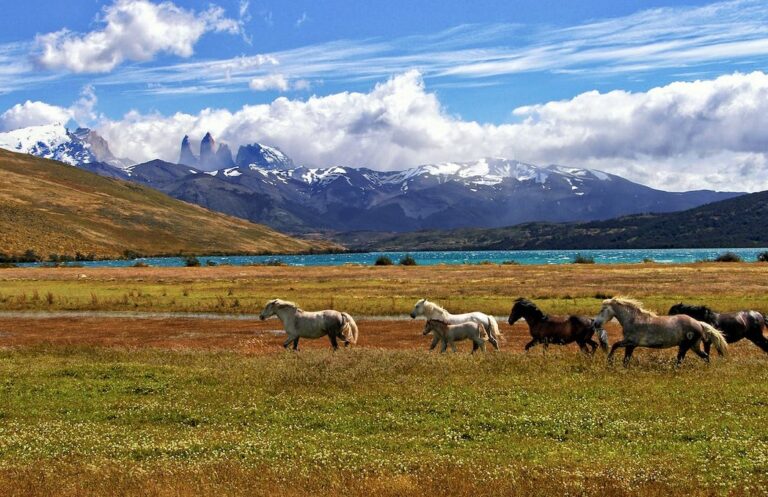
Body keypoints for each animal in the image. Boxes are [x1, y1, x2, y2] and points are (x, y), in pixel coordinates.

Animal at [592, 296, 728, 366]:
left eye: (602, 310)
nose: (595, 323)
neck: (633, 320)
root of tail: (698, 323)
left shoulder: (630, 342)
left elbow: (615, 346)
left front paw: (610, 361)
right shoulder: (630, 345)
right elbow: (626, 358)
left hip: (686, 346)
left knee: (681, 360)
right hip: (693, 346)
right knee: (705, 356)